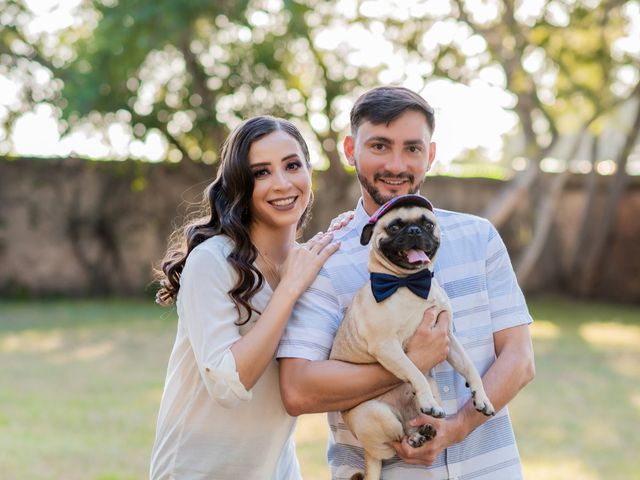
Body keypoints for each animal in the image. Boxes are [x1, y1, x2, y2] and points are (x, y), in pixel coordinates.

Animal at [330, 195, 496, 480]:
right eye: (395, 227)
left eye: (428, 224)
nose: (415, 231)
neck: (410, 283)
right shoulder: (387, 346)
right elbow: (414, 371)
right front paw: (426, 399)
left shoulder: (448, 338)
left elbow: (470, 367)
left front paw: (481, 397)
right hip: (379, 415)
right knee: (396, 442)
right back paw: (417, 434)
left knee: (413, 425)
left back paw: (424, 431)